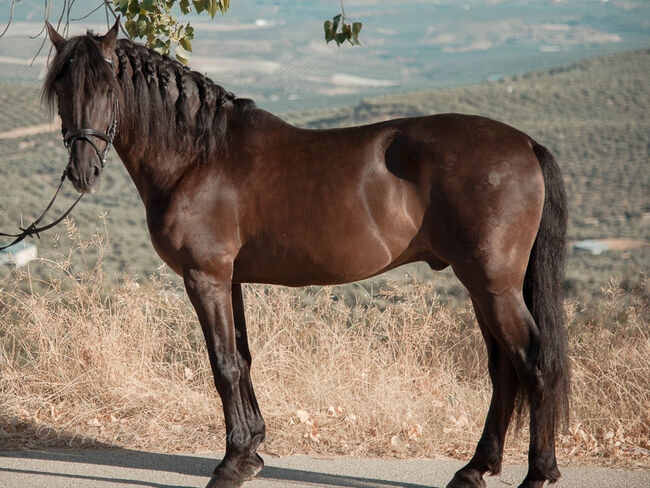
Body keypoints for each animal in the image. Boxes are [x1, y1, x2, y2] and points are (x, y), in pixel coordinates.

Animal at [43, 20, 564, 488]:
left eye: (107, 86)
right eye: (61, 89)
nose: (83, 172)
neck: (198, 158)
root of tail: (526, 144)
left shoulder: (205, 277)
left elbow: (223, 365)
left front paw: (230, 465)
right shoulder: (230, 279)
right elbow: (243, 359)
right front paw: (251, 452)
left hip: (494, 287)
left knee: (533, 365)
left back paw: (538, 474)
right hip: (481, 288)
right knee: (503, 372)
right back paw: (475, 469)